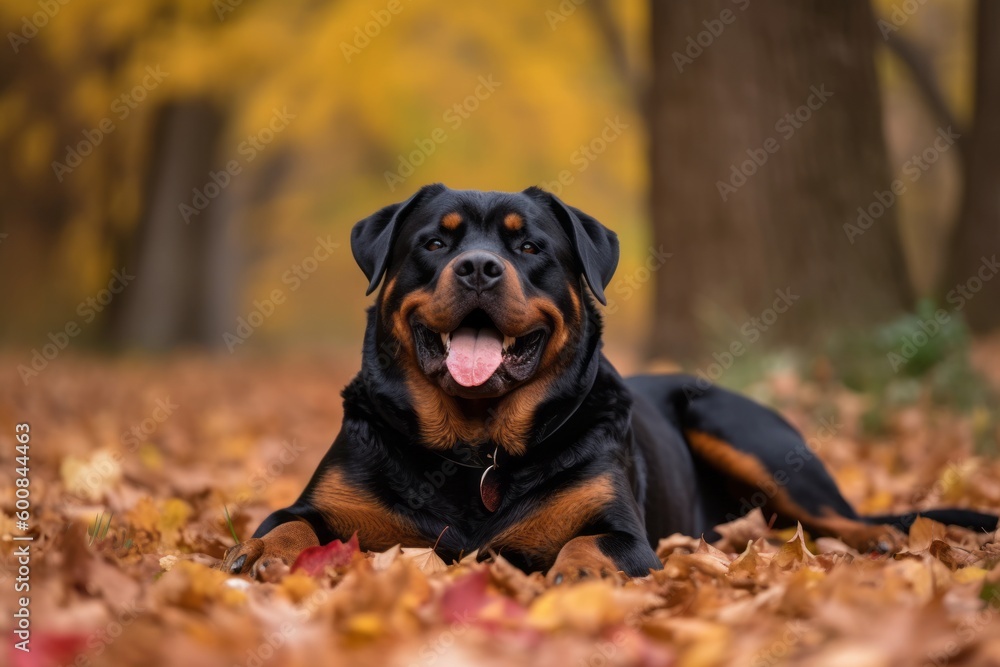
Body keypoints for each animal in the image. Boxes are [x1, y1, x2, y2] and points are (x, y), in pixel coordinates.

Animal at [223, 184, 996, 584]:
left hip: (743, 432)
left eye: (528, 245)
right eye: (435, 242)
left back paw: (889, 545)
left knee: (850, 519)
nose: (478, 267)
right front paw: (261, 552)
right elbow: (289, 521)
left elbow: (588, 544)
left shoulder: (622, 530)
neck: (475, 449)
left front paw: (576, 577)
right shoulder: (332, 503)